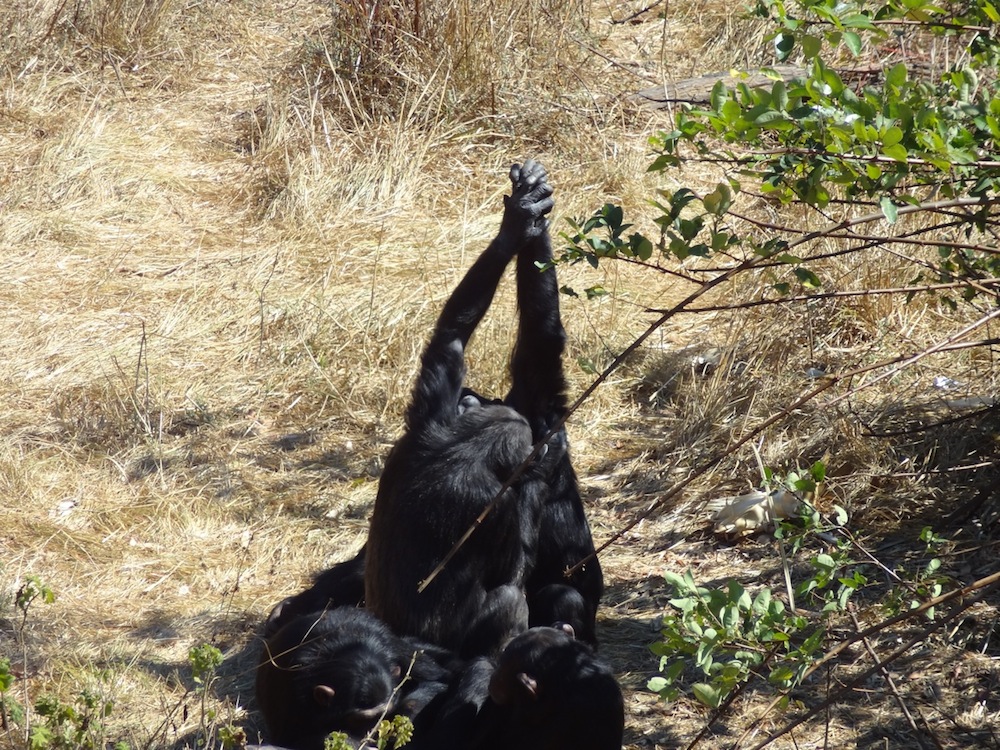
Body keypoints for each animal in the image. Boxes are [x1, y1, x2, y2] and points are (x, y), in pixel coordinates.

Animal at [256, 612, 462, 750]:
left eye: (382, 716)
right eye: (360, 721)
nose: (372, 734)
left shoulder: (395, 648)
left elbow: (437, 682)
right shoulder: (291, 693)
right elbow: (293, 740)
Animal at [364, 160, 560, 656]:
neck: (465, 446)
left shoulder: (430, 411)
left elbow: (452, 331)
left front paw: (520, 220)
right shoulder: (497, 506)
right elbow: (514, 563)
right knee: (509, 598)